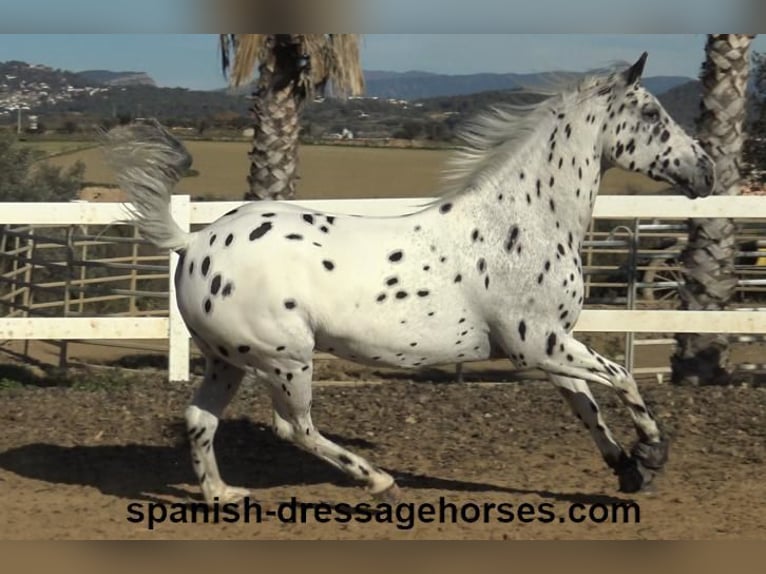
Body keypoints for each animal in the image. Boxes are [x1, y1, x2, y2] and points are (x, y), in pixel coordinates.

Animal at [105, 53, 716, 504]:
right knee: (293, 428)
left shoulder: (550, 345)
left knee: (199, 419)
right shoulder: (537, 343)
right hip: (285, 359)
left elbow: (586, 405)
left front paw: (627, 470)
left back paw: (223, 495)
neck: (521, 222)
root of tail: (193, 242)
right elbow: (622, 378)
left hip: (228, 360)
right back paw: (378, 480)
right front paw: (651, 454)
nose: (707, 171)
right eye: (654, 116)